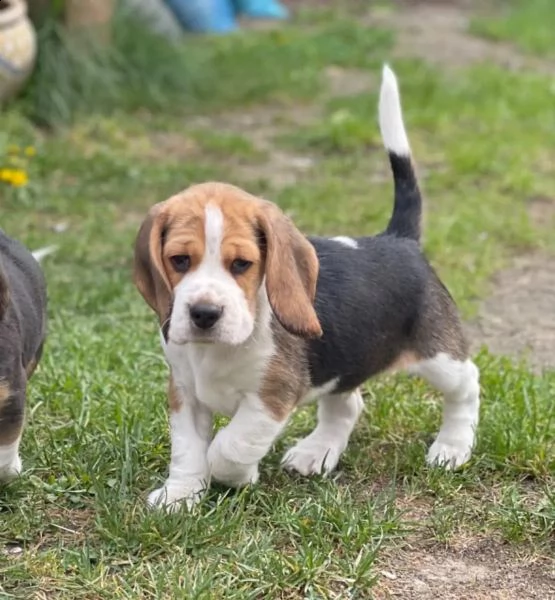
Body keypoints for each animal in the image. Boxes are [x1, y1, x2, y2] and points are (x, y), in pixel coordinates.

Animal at [135, 65, 482, 508]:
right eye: (179, 260)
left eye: (242, 264)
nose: (204, 314)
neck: (217, 350)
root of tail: (398, 239)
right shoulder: (184, 394)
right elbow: (189, 450)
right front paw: (180, 495)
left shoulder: (270, 399)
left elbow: (229, 445)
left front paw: (236, 474)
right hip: (347, 361)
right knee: (347, 405)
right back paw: (317, 452)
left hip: (438, 357)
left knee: (466, 385)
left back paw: (452, 446)